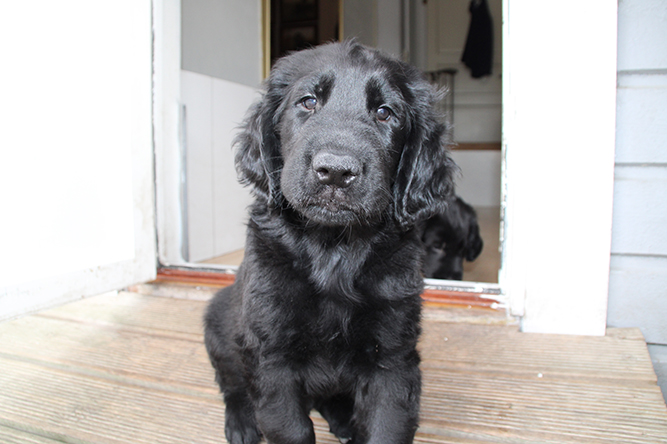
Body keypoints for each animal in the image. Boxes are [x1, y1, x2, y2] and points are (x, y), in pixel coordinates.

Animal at [204, 41, 457, 444]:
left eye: (385, 113)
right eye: (307, 102)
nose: (336, 172)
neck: (333, 249)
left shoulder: (393, 357)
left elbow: (387, 424)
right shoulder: (271, 355)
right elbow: (290, 427)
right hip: (218, 323)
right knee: (231, 382)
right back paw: (241, 422)